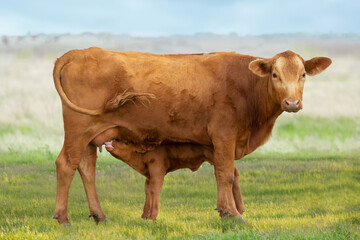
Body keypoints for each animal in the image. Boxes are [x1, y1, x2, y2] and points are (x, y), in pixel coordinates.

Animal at [52, 48, 330, 225]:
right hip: (78, 129)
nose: (292, 102)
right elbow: (226, 174)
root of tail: (80, 51)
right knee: (66, 164)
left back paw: (99, 216)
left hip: (91, 135)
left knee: (86, 168)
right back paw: (63, 218)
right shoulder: (224, 135)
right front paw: (234, 215)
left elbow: (223, 173)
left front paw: (225, 211)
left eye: (303, 74)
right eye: (275, 75)